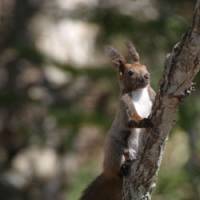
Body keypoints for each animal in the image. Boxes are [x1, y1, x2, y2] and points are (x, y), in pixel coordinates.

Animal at [79, 42, 155, 200]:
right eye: (130, 72)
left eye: (145, 66)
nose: (146, 76)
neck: (140, 92)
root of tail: (108, 174)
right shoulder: (125, 105)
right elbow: (132, 119)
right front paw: (145, 121)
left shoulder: (153, 95)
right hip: (115, 150)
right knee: (118, 167)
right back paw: (124, 167)